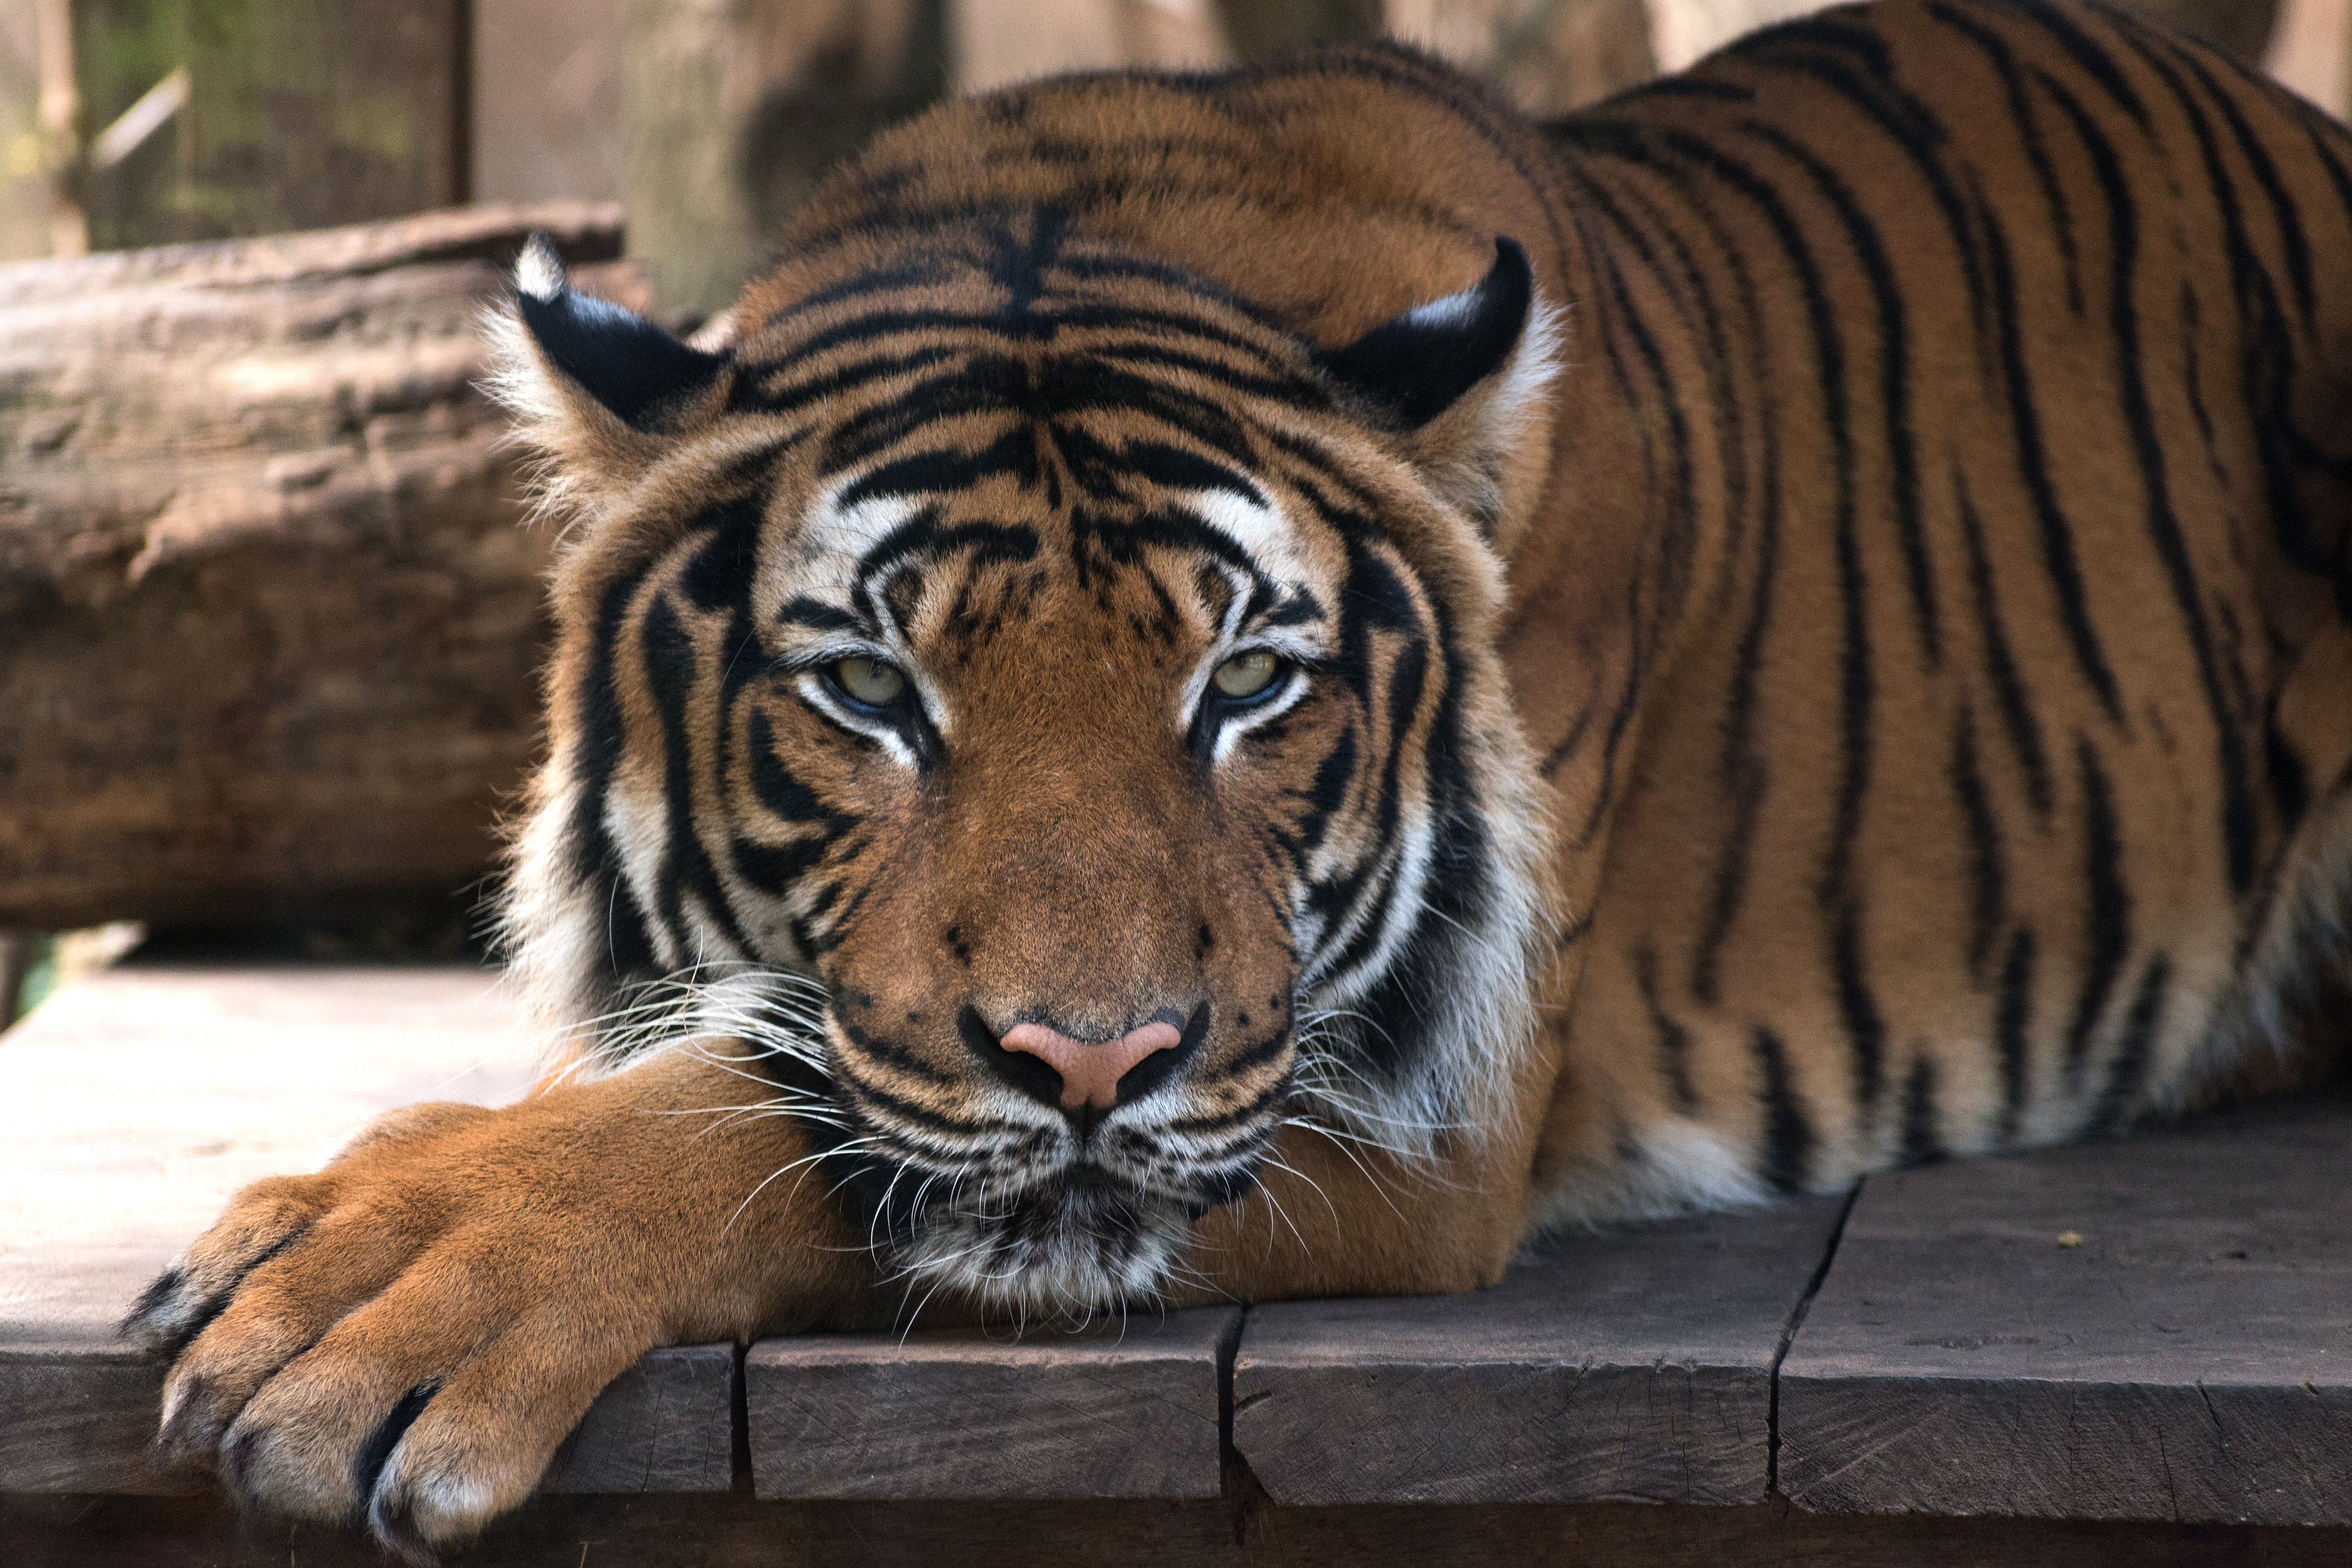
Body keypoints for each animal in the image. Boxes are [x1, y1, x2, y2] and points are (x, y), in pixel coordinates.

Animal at [124, 3, 2352, 1561]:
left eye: (1249, 684)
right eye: (868, 687)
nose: (1098, 1062)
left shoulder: (1415, 1105)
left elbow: (759, 1112)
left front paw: (383, 1276)